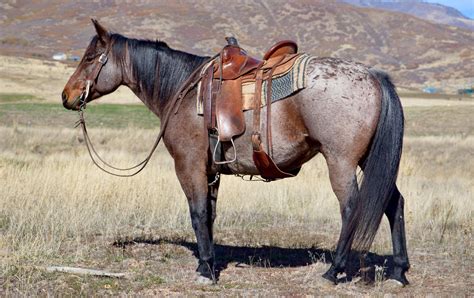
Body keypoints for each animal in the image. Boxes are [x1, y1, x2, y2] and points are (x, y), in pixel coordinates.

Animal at [61, 19, 410, 286]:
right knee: (394, 204)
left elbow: (197, 213)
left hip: (341, 162)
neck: (183, 91)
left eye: (91, 57)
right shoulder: (211, 170)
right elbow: (210, 214)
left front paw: (205, 270)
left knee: (352, 208)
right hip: (369, 160)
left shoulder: (188, 165)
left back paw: (333, 271)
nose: (67, 96)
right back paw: (399, 272)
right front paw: (209, 263)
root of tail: (374, 76)